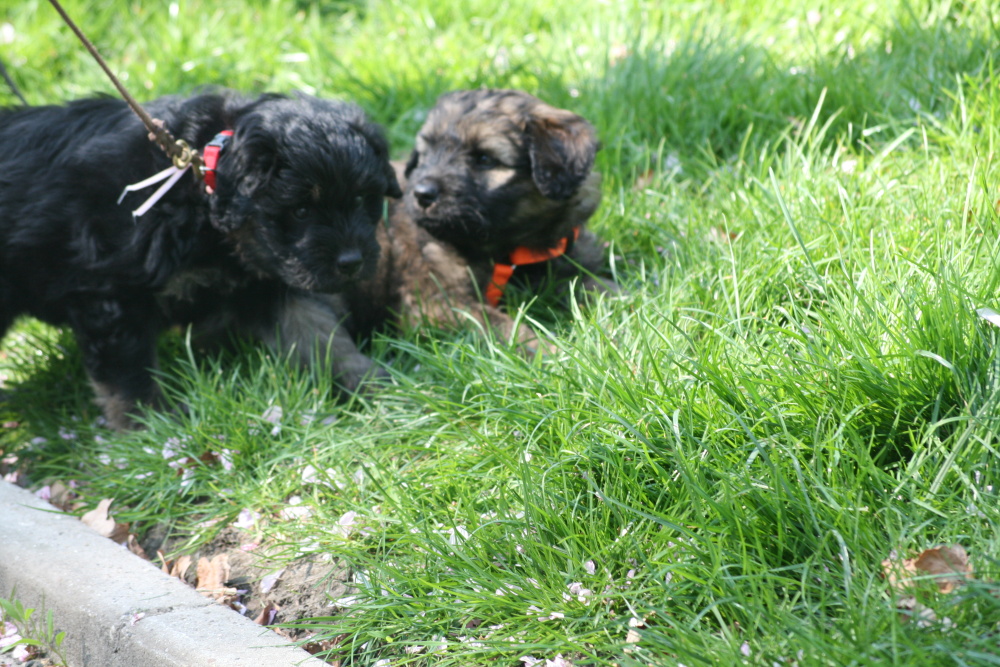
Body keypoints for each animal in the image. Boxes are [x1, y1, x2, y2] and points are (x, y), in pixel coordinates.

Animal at [0, 91, 398, 430]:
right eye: (301, 210)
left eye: (361, 199)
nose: (352, 262)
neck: (196, 186)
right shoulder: (111, 294)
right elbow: (128, 376)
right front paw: (153, 430)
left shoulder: (265, 279)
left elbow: (318, 334)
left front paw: (371, 383)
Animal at [336, 88, 616, 360]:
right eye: (426, 155)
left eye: (484, 159)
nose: (421, 193)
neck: (507, 250)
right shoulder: (435, 302)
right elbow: (501, 326)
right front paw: (552, 352)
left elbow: (598, 286)